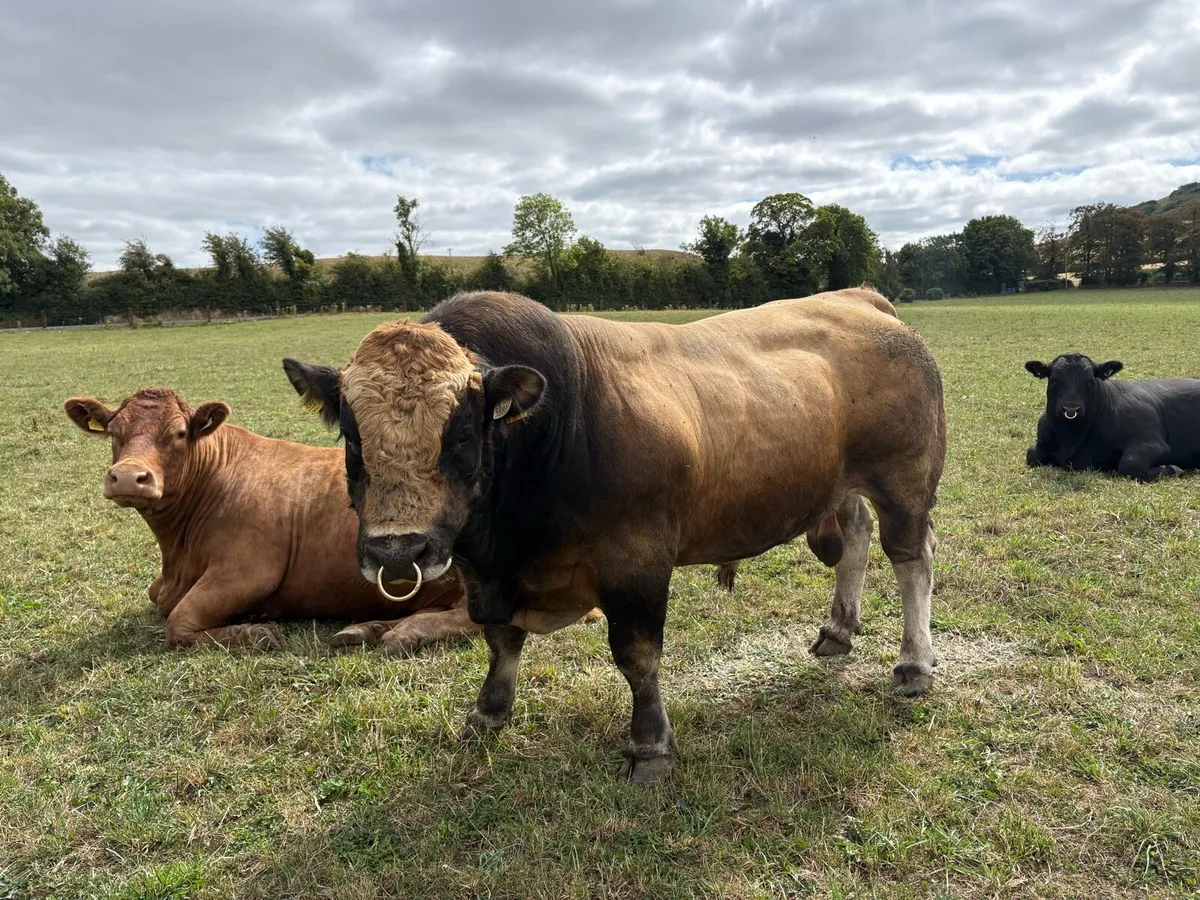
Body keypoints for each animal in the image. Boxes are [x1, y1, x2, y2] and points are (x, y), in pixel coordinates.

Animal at [64, 387, 475, 651]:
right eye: (114, 432)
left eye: (178, 433)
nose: (128, 476)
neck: (177, 557)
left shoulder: (248, 569)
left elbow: (177, 622)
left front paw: (253, 633)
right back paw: (364, 629)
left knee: (469, 617)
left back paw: (403, 634)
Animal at [282, 288, 946, 785]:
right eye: (352, 436)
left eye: (462, 435)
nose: (398, 550)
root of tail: (861, 298)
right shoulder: (478, 566)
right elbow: (500, 640)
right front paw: (488, 712)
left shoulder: (637, 561)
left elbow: (637, 655)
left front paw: (649, 745)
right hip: (843, 484)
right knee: (856, 536)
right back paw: (838, 629)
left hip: (905, 480)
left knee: (911, 559)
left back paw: (915, 663)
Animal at [1024, 353, 1200, 481]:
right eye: (1054, 379)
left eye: (1090, 380)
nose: (1070, 409)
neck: (1070, 439)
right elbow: (1032, 455)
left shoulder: (1152, 442)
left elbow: (1130, 464)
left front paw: (1173, 468)